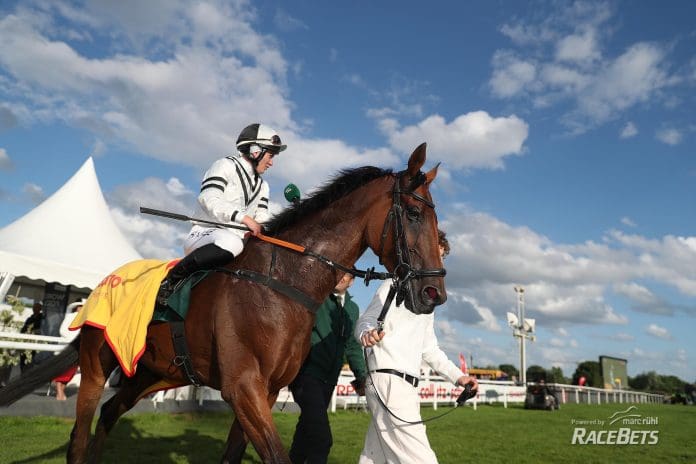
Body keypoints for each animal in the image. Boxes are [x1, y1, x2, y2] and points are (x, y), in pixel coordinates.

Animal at [0, 143, 446, 462]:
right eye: (413, 213)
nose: (433, 294)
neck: (280, 283)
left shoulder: (266, 391)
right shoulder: (242, 386)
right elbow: (277, 456)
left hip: (152, 373)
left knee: (108, 416)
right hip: (97, 367)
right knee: (79, 435)